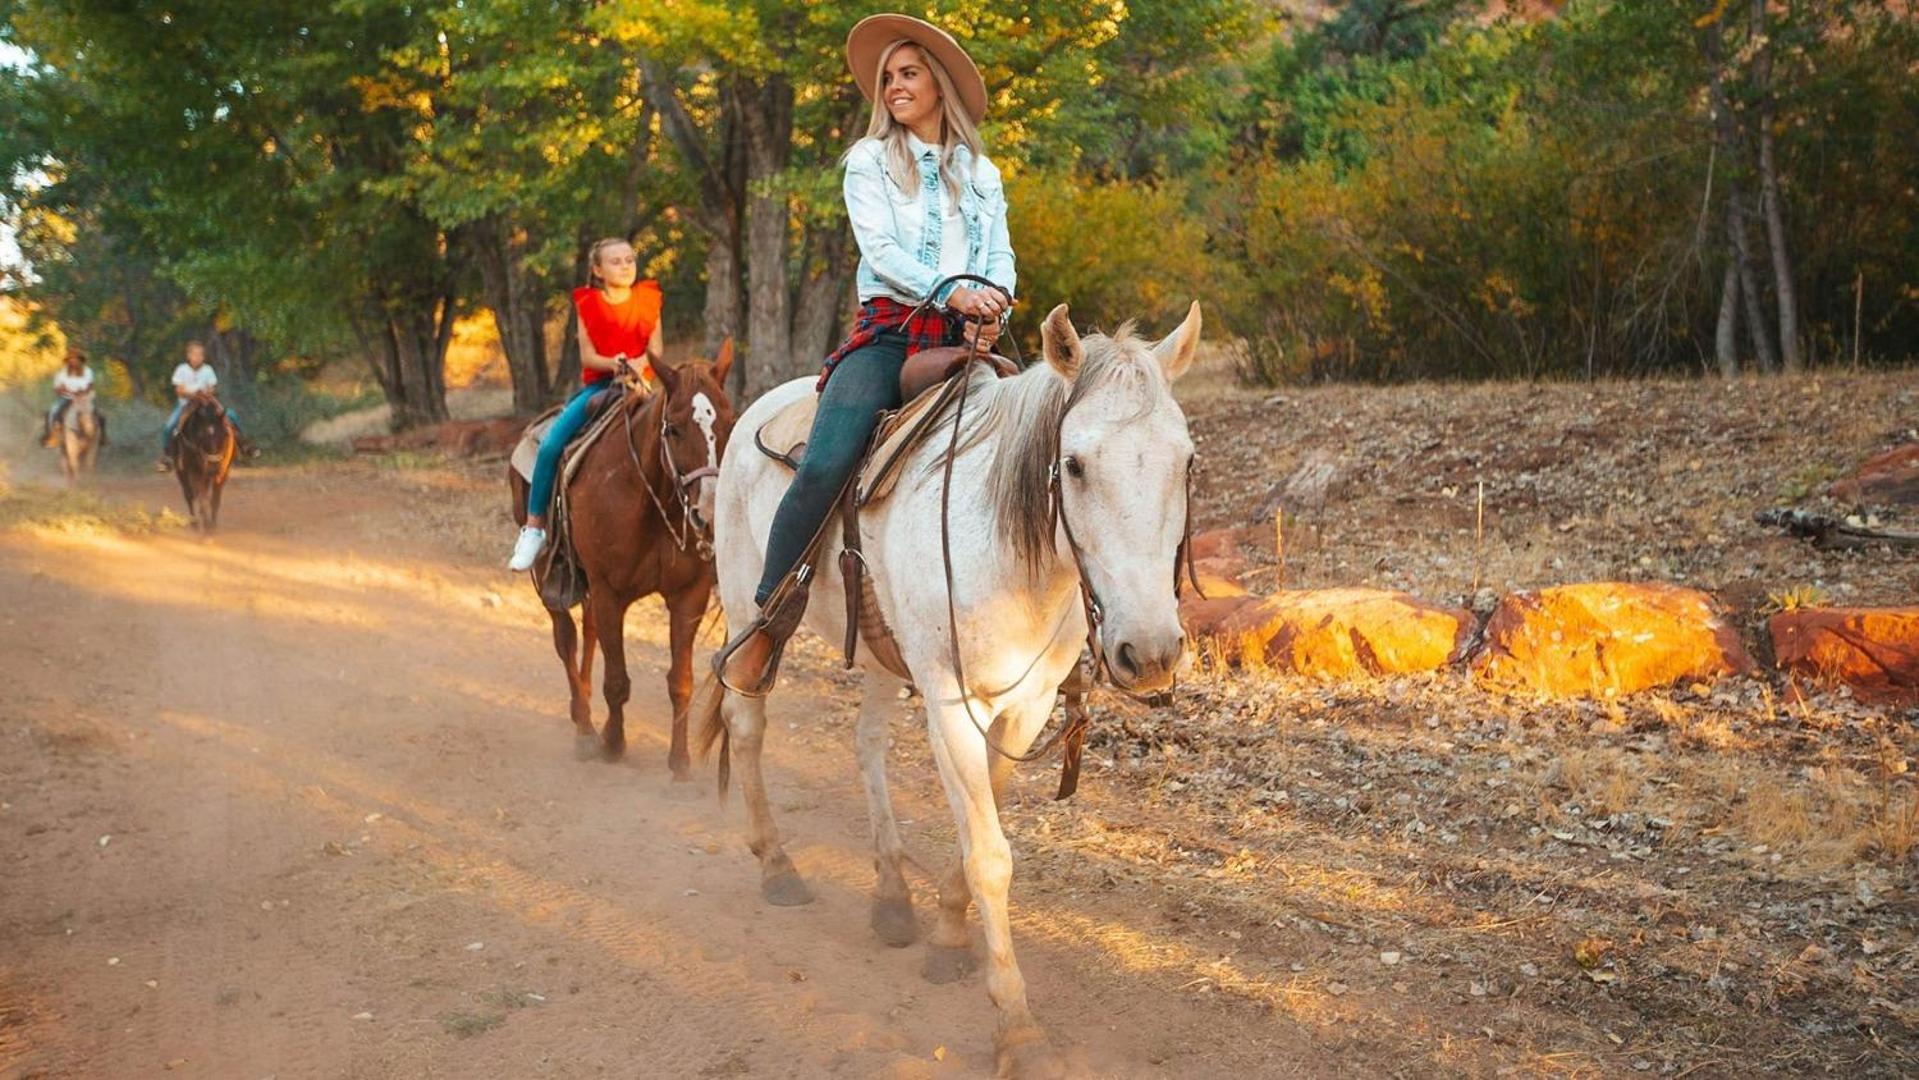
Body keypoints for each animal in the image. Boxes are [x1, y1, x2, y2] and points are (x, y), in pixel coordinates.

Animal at [172, 397, 237, 533]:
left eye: (224, 435)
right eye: (200, 436)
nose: (213, 467)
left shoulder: (223, 473)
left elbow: (215, 500)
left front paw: (212, 527)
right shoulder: (194, 472)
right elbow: (202, 498)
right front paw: (207, 528)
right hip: (182, 471)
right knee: (189, 495)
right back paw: (195, 523)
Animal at [506, 341, 736, 774]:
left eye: (729, 424)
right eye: (673, 428)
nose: (710, 513)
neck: (651, 497)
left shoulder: (689, 596)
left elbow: (680, 681)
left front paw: (679, 761)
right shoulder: (609, 590)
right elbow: (616, 681)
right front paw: (613, 743)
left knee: (589, 632)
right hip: (550, 573)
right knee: (566, 639)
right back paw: (584, 729)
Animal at [706, 303, 1197, 1074]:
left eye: (1186, 462)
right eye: (1075, 463)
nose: (1149, 652)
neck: (1010, 554)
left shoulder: (1023, 708)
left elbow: (982, 830)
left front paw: (944, 932)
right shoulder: (951, 704)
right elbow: (990, 855)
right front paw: (1018, 1030)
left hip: (884, 655)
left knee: (866, 744)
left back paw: (890, 895)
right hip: (742, 607)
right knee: (747, 722)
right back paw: (778, 867)